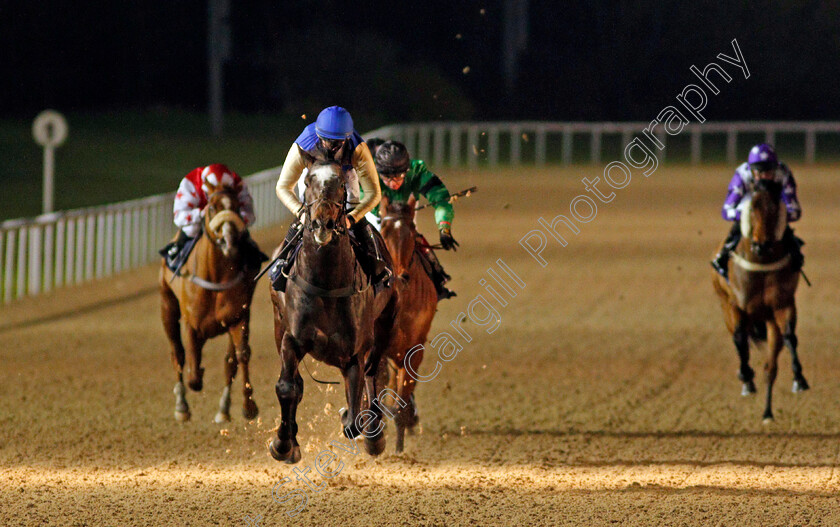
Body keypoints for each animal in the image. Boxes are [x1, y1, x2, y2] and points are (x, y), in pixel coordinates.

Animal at [159, 184, 260, 422]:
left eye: (237, 207)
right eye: (212, 207)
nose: (230, 239)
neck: (216, 277)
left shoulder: (238, 318)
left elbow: (239, 357)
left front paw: (248, 406)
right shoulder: (191, 324)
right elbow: (193, 373)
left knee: (229, 362)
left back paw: (223, 410)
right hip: (167, 305)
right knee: (177, 353)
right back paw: (181, 406)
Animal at [270, 160, 398, 462]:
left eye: (340, 183)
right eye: (307, 182)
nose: (322, 223)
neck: (325, 284)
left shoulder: (354, 353)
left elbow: (353, 418)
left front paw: (355, 421)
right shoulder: (291, 338)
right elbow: (288, 387)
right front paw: (283, 444)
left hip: (385, 323)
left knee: (374, 374)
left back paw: (374, 434)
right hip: (277, 323)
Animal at [712, 179, 812, 422]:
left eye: (776, 209)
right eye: (753, 208)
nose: (762, 245)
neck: (762, 262)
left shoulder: (783, 305)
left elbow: (790, 337)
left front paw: (799, 379)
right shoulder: (737, 306)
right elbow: (740, 338)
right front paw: (746, 376)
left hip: (770, 324)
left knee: (771, 368)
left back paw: (767, 412)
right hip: (725, 305)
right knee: (741, 340)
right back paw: (748, 382)